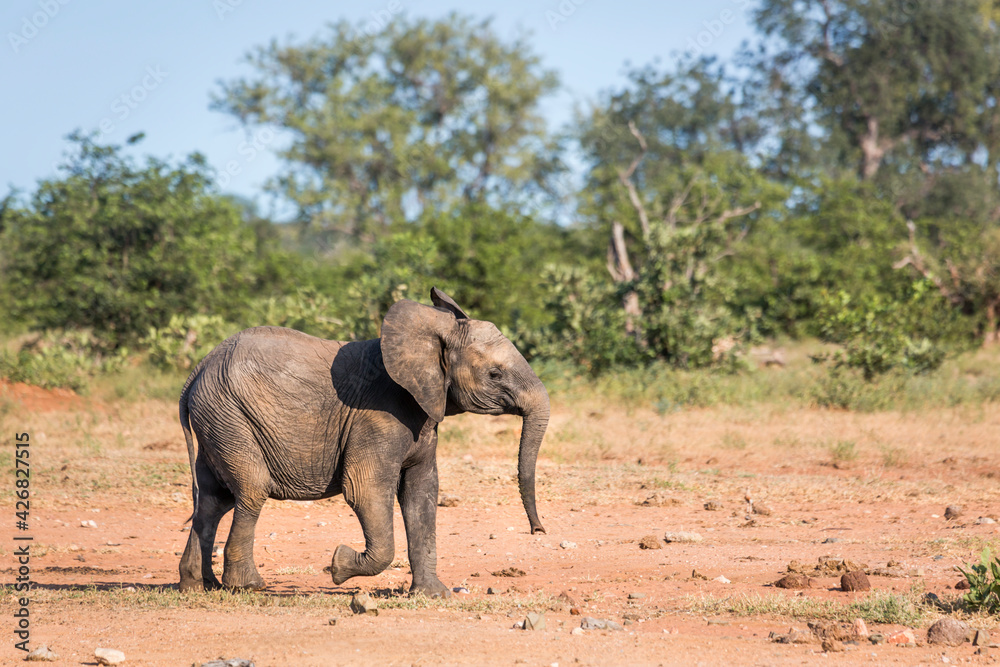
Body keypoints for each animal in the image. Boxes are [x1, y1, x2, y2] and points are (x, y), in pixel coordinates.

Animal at [176, 288, 549, 598]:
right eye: (495, 375)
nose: (538, 531)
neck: (432, 334)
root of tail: (198, 369)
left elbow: (422, 493)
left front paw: (434, 595)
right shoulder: (377, 417)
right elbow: (364, 489)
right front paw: (338, 565)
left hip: (218, 421)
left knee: (213, 499)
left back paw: (198, 585)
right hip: (228, 414)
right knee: (251, 489)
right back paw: (247, 586)